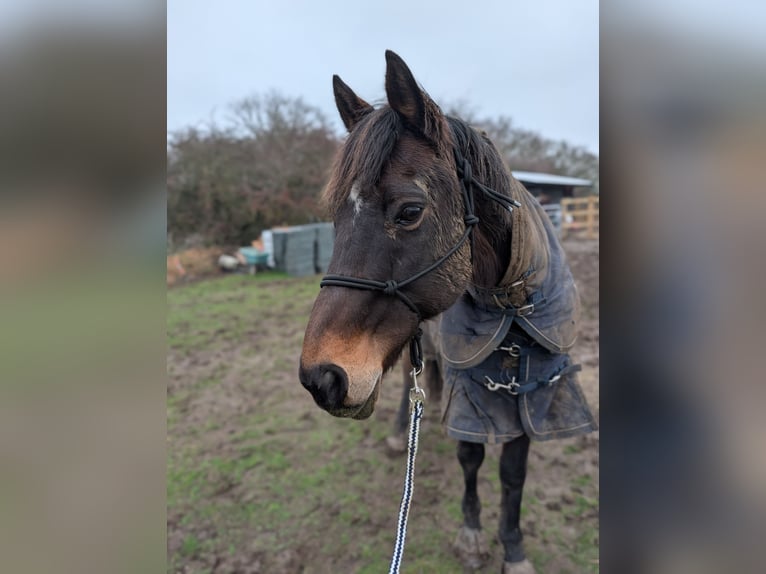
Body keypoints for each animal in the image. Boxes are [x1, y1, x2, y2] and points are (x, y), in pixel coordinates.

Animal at [299, 50, 596, 573]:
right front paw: (472, 535)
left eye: (409, 212)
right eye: (335, 217)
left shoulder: (532, 394)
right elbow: (470, 460)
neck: (511, 309)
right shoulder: (471, 394)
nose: (322, 377)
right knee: (406, 385)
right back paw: (401, 432)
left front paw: (513, 548)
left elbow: (513, 474)